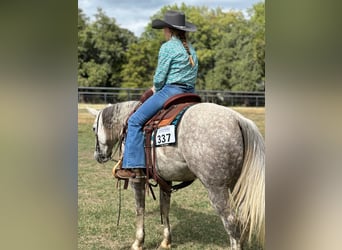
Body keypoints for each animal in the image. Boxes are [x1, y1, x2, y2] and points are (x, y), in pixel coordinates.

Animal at [87, 101, 264, 250]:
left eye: (94, 128)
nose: (98, 156)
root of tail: (238, 119)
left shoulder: (137, 179)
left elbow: (140, 209)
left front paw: (138, 242)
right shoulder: (165, 180)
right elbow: (165, 209)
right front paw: (166, 241)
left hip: (216, 188)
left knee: (231, 222)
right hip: (238, 185)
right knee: (244, 218)